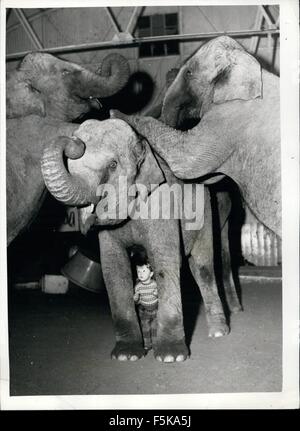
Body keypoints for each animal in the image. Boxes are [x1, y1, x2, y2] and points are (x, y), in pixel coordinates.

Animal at [40, 117, 241, 362]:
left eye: (113, 165)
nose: (74, 142)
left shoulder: (161, 202)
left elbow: (164, 261)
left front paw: (171, 357)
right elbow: (114, 268)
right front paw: (126, 356)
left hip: (204, 213)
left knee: (202, 267)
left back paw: (218, 333)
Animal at [110, 36, 282, 240]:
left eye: (189, 72)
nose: (170, 73)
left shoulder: (227, 118)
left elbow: (185, 162)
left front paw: (117, 114)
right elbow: (208, 176)